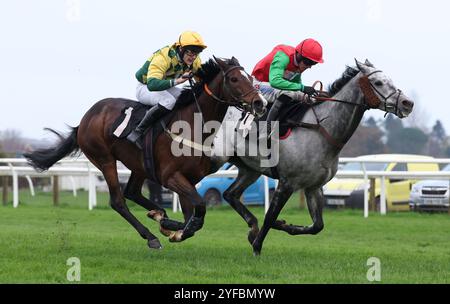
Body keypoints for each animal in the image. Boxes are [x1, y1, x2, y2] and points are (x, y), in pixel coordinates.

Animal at [24, 57, 268, 249]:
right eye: (234, 79)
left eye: (250, 77)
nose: (259, 103)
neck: (193, 125)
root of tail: (86, 118)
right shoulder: (171, 177)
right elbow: (198, 211)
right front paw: (169, 226)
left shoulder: (188, 179)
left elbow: (192, 218)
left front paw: (169, 224)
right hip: (105, 159)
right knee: (118, 201)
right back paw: (150, 236)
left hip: (138, 164)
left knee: (132, 192)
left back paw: (158, 214)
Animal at [211, 58, 414, 254]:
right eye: (378, 82)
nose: (407, 103)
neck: (320, 130)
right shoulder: (287, 183)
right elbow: (270, 216)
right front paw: (257, 247)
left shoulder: (313, 186)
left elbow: (317, 226)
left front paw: (283, 225)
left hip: (250, 170)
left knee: (230, 194)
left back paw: (252, 227)